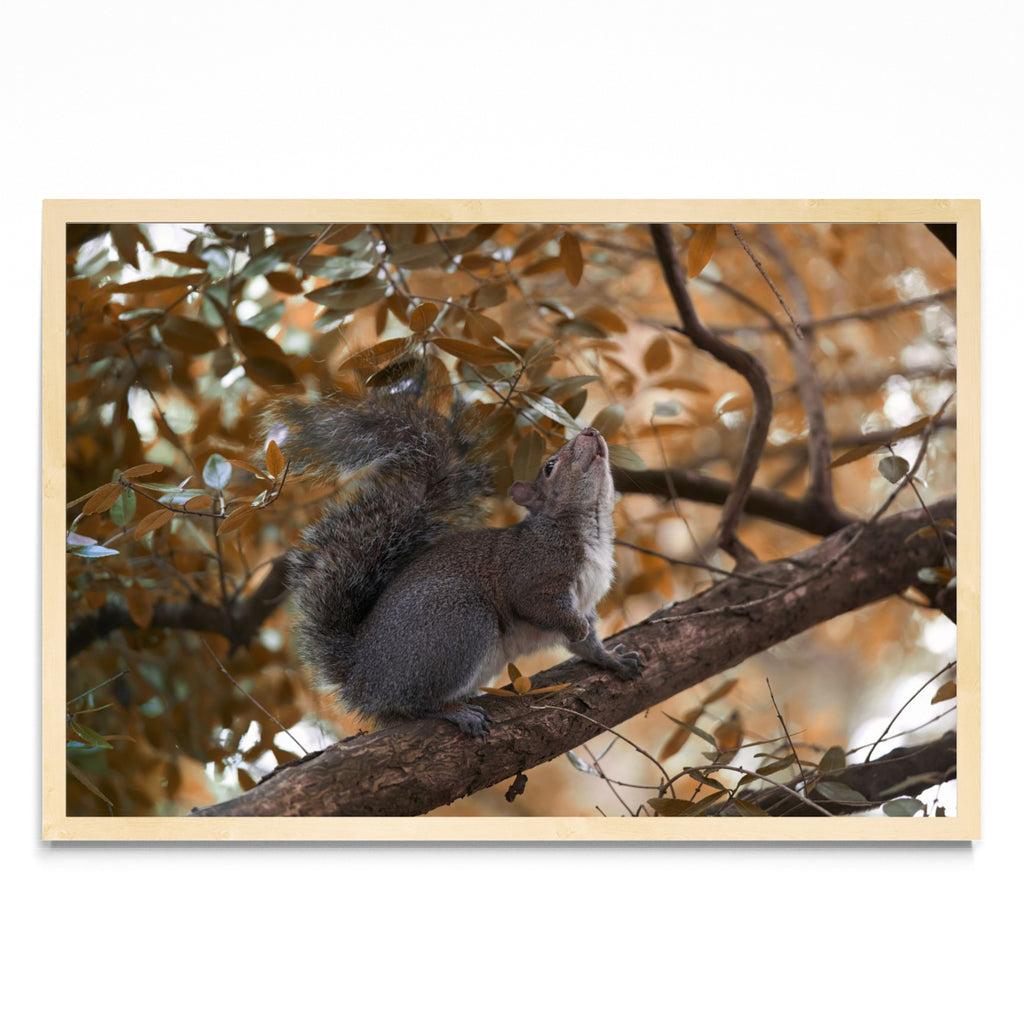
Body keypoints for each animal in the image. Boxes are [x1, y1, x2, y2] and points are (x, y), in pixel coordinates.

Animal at [270, 383, 643, 738]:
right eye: (550, 467)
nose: (591, 432)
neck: (591, 527)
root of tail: (362, 676)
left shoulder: (587, 598)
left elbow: (588, 645)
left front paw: (613, 660)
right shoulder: (531, 572)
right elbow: (541, 607)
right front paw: (577, 628)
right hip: (459, 623)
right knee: (415, 702)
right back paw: (455, 711)